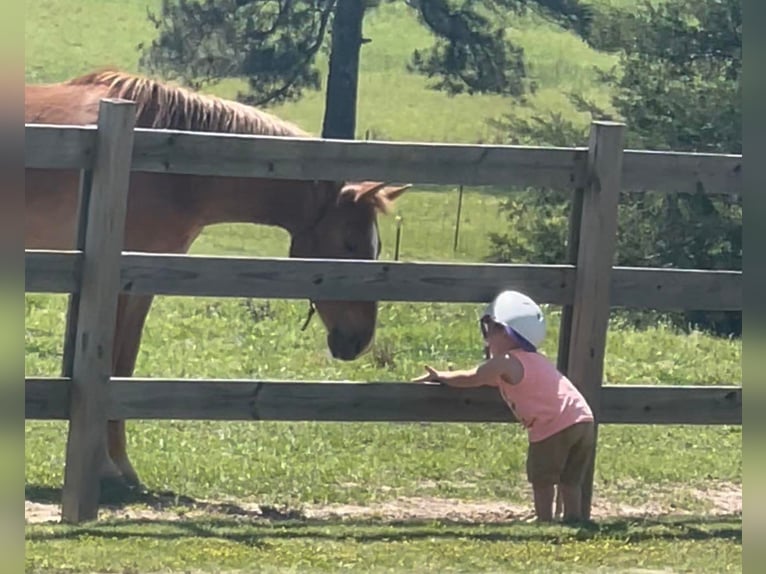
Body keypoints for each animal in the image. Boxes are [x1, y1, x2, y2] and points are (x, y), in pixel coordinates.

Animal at [24, 70, 412, 498]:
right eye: (349, 243)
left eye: (376, 246)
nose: (359, 340)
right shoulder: (121, 282)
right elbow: (110, 365)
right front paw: (107, 469)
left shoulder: (142, 283)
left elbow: (123, 368)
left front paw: (122, 466)